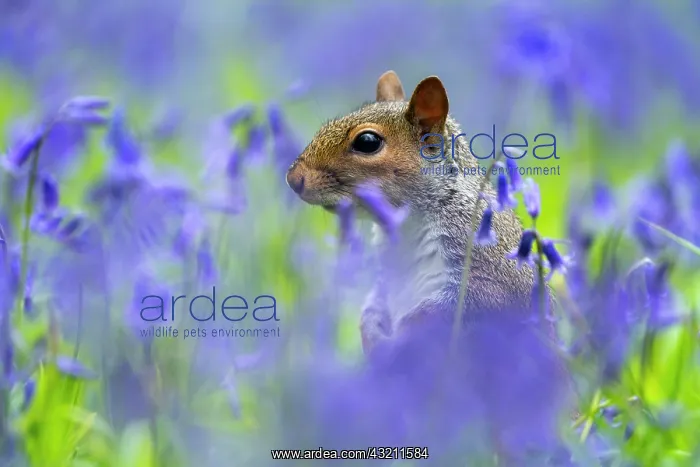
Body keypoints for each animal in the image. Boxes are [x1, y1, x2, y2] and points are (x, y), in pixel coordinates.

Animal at [286, 70, 548, 357]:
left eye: (367, 142)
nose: (293, 178)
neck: (407, 224)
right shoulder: (387, 274)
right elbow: (374, 302)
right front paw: (370, 331)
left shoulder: (489, 263)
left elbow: (467, 302)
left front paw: (404, 336)